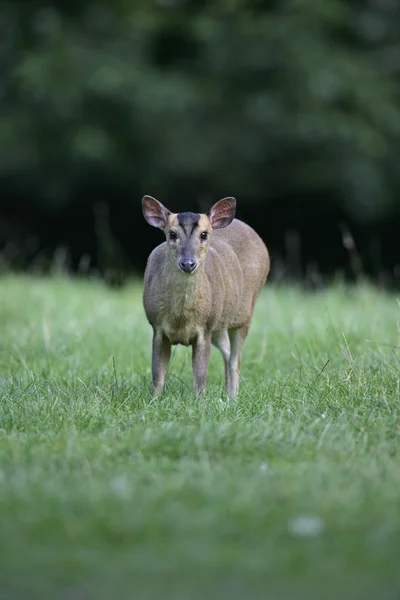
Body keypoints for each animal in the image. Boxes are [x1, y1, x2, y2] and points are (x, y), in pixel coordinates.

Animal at [142, 195, 270, 396]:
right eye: (172, 234)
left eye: (204, 234)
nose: (188, 264)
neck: (181, 318)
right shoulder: (157, 326)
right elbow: (158, 376)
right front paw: (154, 400)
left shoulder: (205, 328)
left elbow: (200, 379)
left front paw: (199, 401)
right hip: (219, 323)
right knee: (227, 351)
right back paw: (226, 394)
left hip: (244, 314)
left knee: (236, 359)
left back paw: (233, 396)